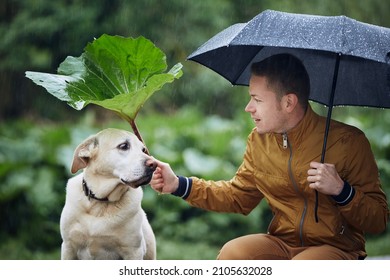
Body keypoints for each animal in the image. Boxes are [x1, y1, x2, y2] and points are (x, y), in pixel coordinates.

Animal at [59, 128, 157, 260]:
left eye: (143, 150)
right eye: (124, 146)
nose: (154, 165)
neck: (100, 203)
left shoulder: (133, 251)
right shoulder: (68, 247)